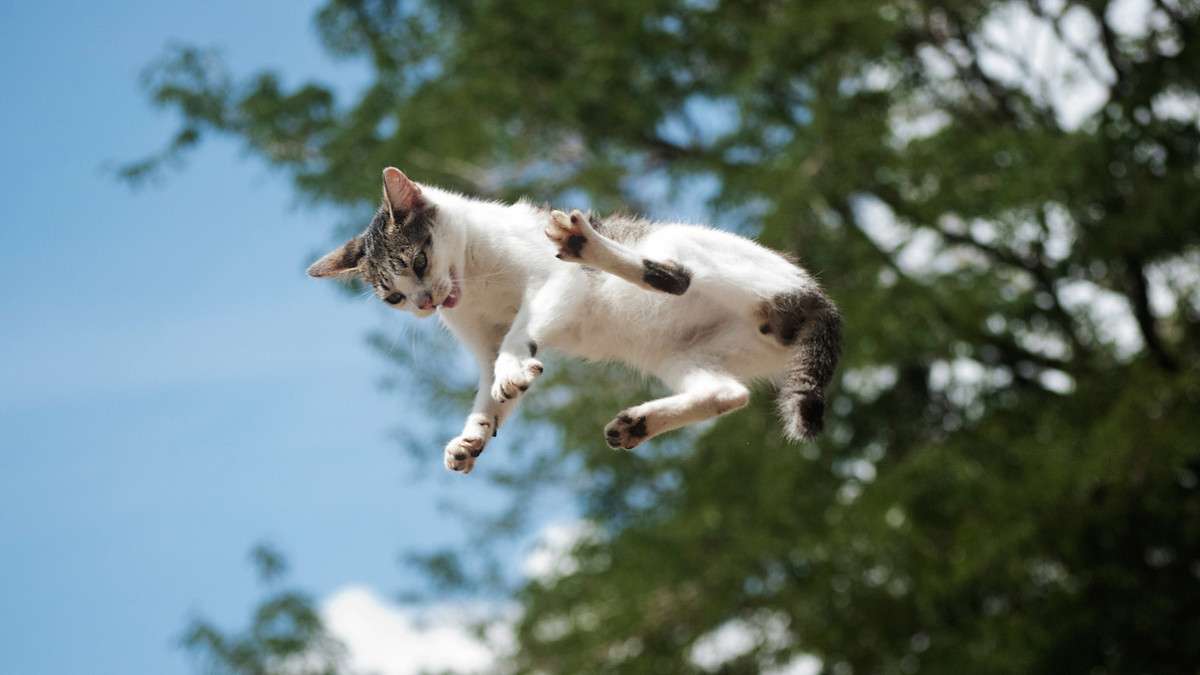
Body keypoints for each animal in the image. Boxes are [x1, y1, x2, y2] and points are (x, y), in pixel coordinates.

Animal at [307, 166, 844, 470]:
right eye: (393, 298)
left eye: (419, 261)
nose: (425, 305)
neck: (476, 282)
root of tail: (819, 299)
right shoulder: (480, 340)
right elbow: (488, 390)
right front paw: (474, 435)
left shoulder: (554, 285)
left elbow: (519, 334)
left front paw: (511, 370)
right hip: (681, 354)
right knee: (727, 394)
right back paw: (636, 424)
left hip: (678, 244)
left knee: (677, 276)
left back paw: (585, 243)